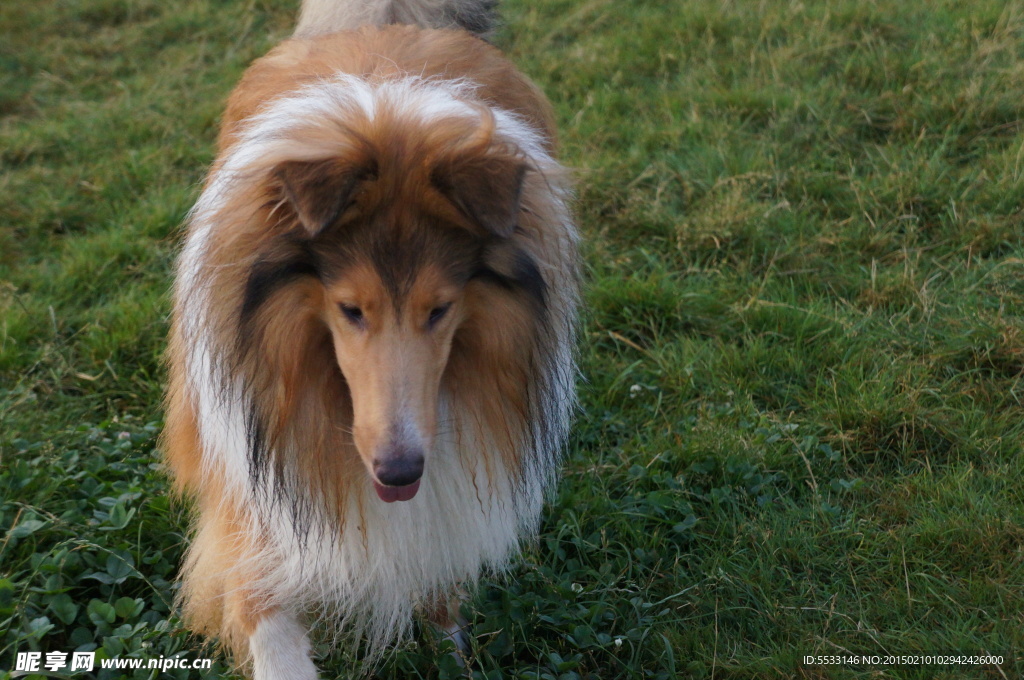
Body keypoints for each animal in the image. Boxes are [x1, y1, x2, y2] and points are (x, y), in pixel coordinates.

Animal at [159, 0, 577, 675]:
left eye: (441, 309)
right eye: (350, 309)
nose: (401, 471)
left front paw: (449, 642)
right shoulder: (248, 488)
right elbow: (263, 613)